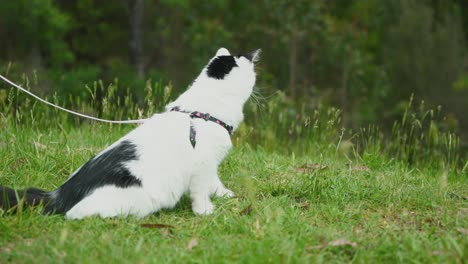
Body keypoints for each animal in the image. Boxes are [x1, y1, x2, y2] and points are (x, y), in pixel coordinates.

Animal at [0, 47, 260, 219]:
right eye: (253, 73)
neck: (200, 113)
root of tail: (58, 195)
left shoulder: (211, 164)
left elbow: (215, 182)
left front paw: (225, 195)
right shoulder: (202, 164)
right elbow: (201, 191)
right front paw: (205, 211)